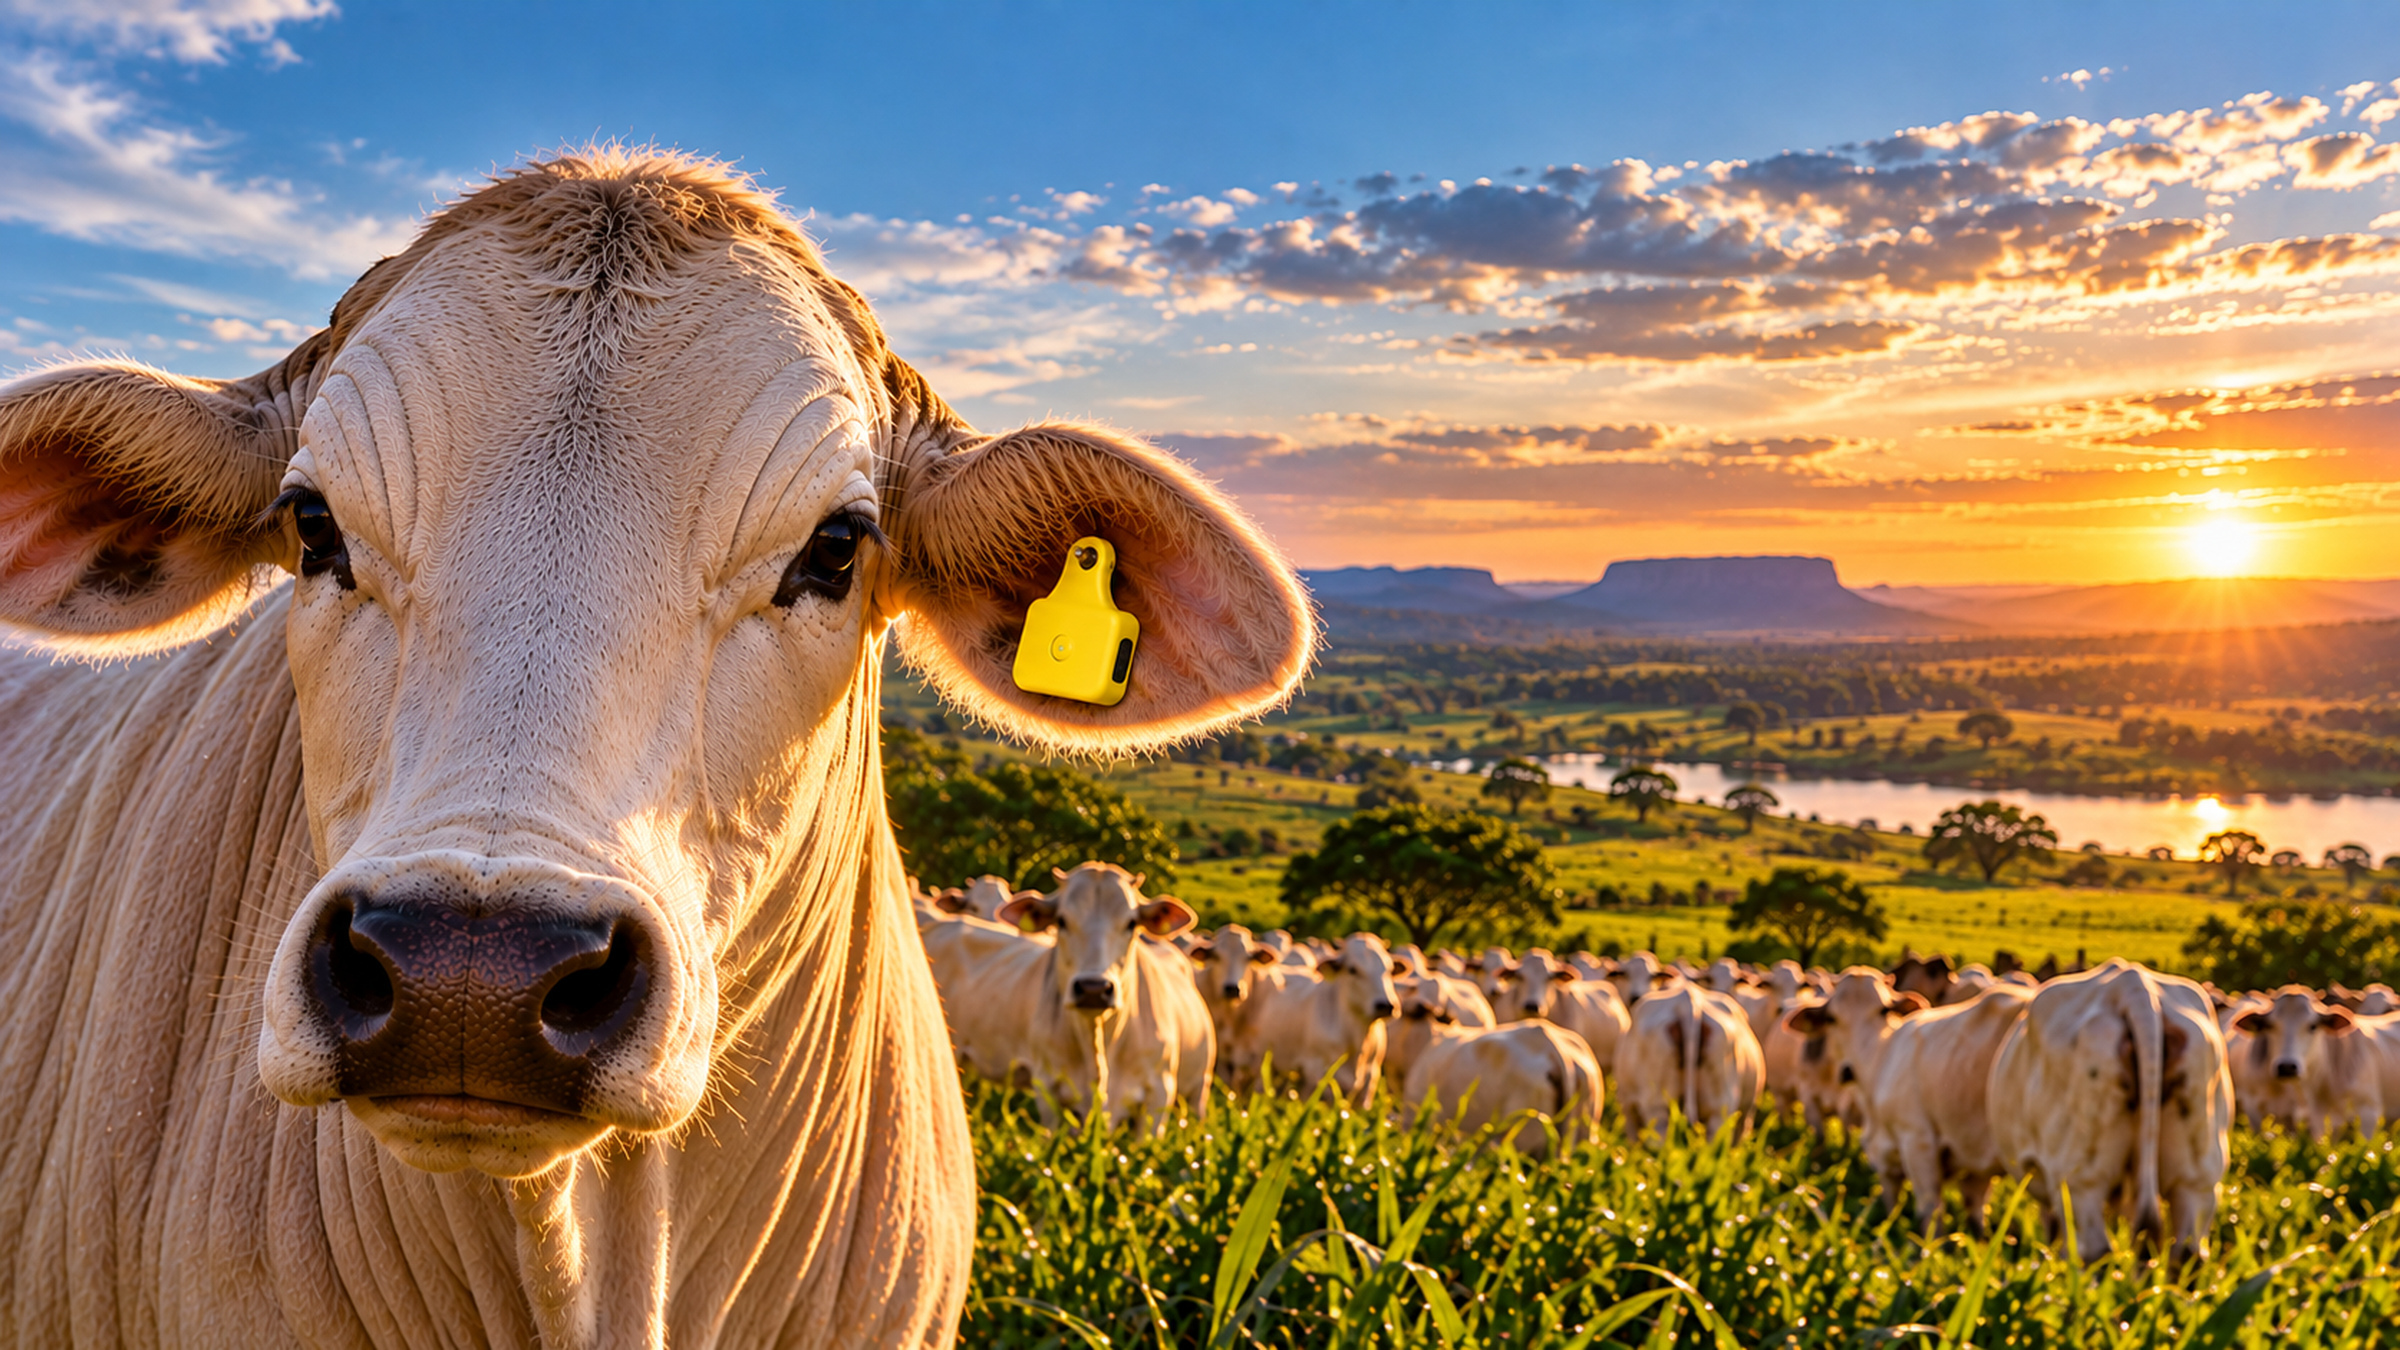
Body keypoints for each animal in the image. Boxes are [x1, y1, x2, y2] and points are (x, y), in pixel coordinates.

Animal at [921, 865, 1212, 1129]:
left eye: (1131, 923)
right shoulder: (1047, 1085)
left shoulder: (1160, 1094)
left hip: (1200, 1087)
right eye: (1061, 920)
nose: (1094, 988)